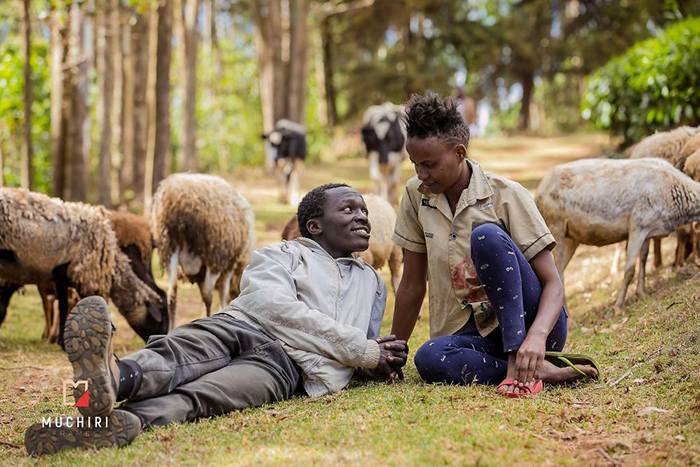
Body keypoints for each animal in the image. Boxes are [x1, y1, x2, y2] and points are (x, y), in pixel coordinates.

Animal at [0, 189, 169, 348]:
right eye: (161, 316)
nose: (162, 337)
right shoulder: (83, 279)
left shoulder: (61, 277)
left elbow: (64, 306)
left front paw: (63, 340)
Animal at [152, 172, 256, 330]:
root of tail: (177, 199)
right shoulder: (228, 267)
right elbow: (222, 293)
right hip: (215, 254)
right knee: (208, 295)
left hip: (169, 248)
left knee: (172, 294)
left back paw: (171, 329)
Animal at [536, 158, 700, 310]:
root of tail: (538, 192)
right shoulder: (637, 224)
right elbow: (629, 269)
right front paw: (618, 306)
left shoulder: (647, 229)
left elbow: (644, 258)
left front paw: (642, 293)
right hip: (555, 226)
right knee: (559, 273)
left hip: (572, 237)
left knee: (561, 270)